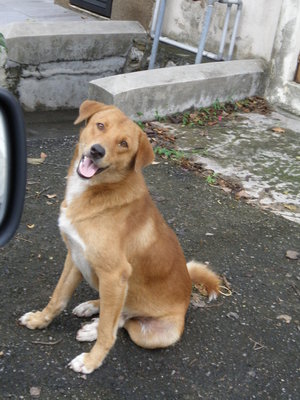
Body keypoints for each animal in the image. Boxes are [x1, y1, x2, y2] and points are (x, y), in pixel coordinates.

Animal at [19, 101, 220, 376]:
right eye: (100, 125)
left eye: (123, 143)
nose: (96, 151)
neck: (95, 191)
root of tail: (188, 292)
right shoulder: (75, 256)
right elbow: (57, 297)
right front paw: (41, 320)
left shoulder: (115, 274)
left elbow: (108, 330)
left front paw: (91, 361)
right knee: (117, 311)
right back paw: (91, 307)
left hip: (151, 334)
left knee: (122, 320)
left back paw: (93, 327)